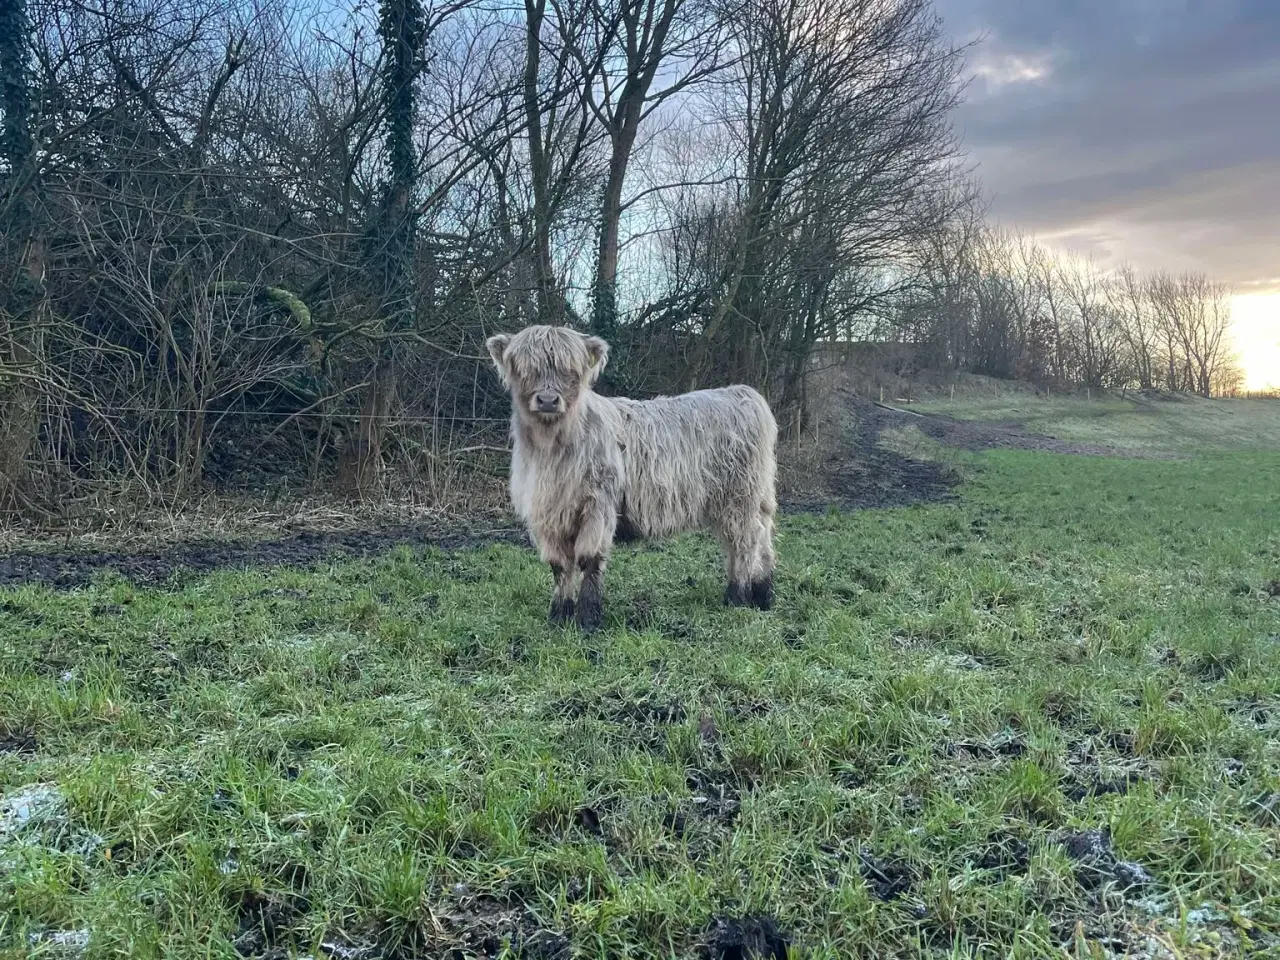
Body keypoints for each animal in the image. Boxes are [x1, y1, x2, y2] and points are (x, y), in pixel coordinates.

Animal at [486, 327, 768, 634]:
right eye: (524, 368)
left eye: (571, 370)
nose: (548, 400)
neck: (552, 450)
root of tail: (740, 392)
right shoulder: (548, 514)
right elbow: (559, 565)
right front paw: (559, 615)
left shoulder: (597, 505)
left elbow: (589, 558)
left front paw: (587, 618)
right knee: (758, 538)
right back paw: (763, 594)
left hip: (740, 496)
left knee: (745, 540)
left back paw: (737, 596)